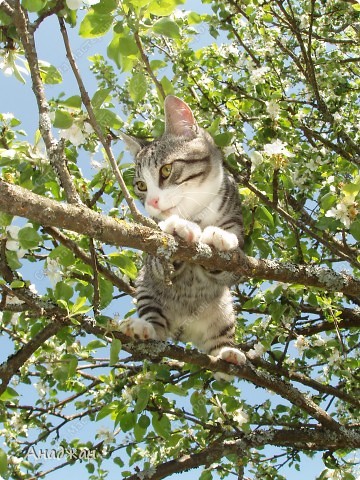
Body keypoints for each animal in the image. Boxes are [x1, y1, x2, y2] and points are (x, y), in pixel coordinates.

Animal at [119, 94, 246, 378]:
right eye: (141, 186)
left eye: (166, 170)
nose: (152, 203)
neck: (195, 213)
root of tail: (185, 328)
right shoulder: (152, 258)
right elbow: (161, 258)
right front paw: (179, 228)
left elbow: (231, 259)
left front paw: (220, 236)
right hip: (146, 290)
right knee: (156, 321)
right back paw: (144, 328)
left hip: (224, 308)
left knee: (219, 344)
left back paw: (227, 354)